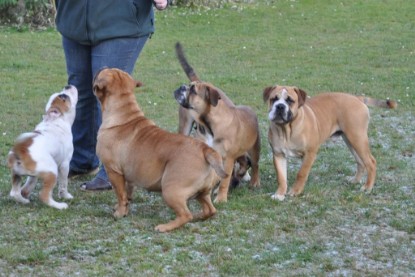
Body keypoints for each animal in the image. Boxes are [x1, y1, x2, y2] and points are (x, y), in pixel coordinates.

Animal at [92, 68, 228, 232]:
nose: (100, 68)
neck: (123, 114)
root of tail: (205, 149)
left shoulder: (113, 171)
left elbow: (120, 194)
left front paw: (119, 213)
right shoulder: (129, 175)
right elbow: (128, 192)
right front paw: (125, 207)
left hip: (170, 190)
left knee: (185, 215)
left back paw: (165, 227)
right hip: (202, 193)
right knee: (210, 210)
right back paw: (198, 216)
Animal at [264, 85, 398, 199]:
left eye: (290, 101)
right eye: (273, 99)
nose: (280, 106)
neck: (286, 129)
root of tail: (357, 98)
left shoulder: (310, 154)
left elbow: (301, 173)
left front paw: (295, 191)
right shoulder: (278, 155)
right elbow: (281, 177)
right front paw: (279, 194)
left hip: (358, 138)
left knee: (371, 162)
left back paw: (367, 187)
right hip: (350, 140)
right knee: (360, 162)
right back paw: (355, 180)